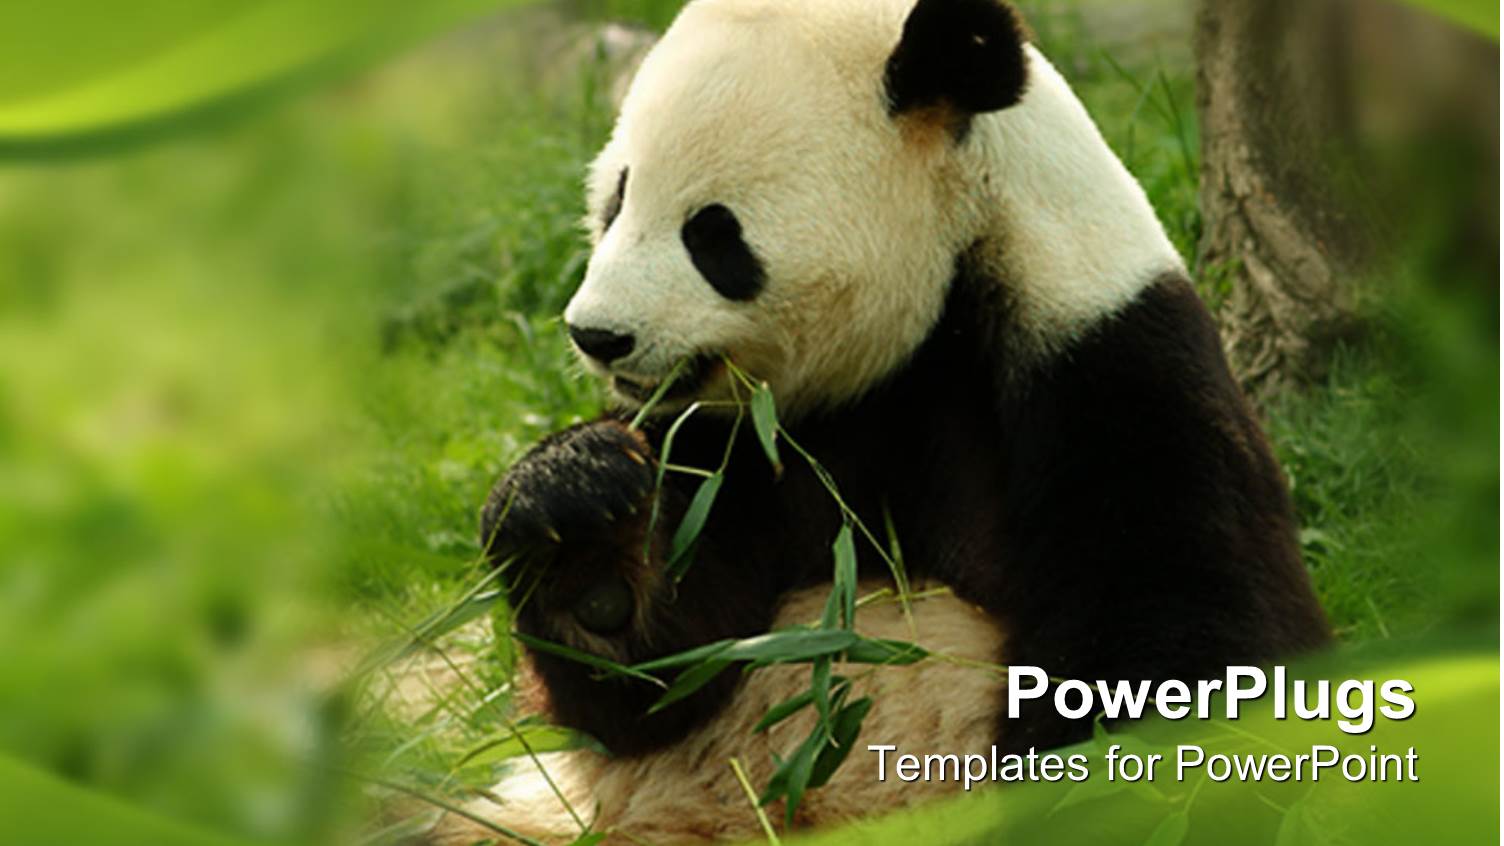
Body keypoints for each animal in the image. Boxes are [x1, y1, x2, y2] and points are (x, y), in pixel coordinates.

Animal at [436, 0, 1331, 841]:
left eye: (713, 234)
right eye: (615, 201)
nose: (597, 334)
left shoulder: (1106, 360)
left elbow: (1186, 645)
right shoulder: (746, 440)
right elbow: (663, 674)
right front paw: (575, 509)